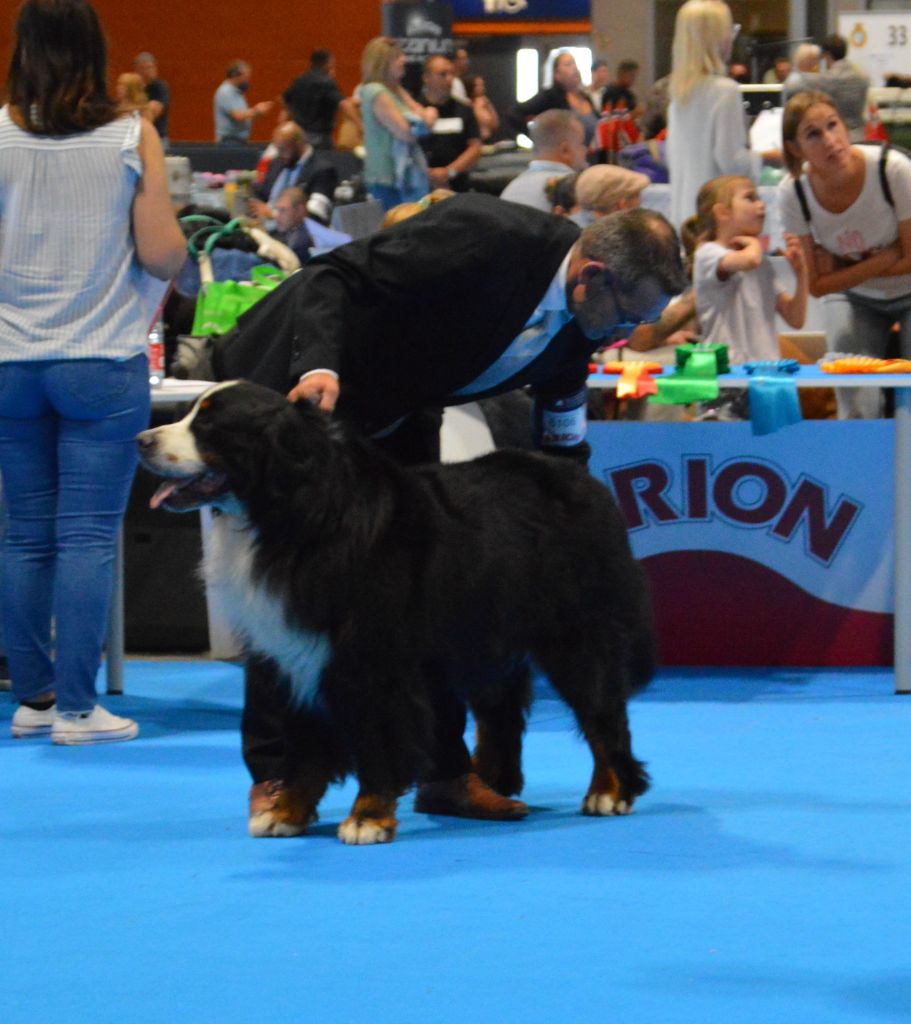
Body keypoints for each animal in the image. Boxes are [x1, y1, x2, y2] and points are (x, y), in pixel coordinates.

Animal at [137, 380, 655, 843]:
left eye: (209, 424)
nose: (142, 440)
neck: (296, 517)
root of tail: (575, 475)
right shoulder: (294, 656)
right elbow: (305, 746)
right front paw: (286, 813)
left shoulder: (371, 660)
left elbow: (377, 739)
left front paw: (367, 817)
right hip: (484, 633)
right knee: (501, 713)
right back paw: (490, 784)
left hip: (576, 633)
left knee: (602, 710)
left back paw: (610, 791)